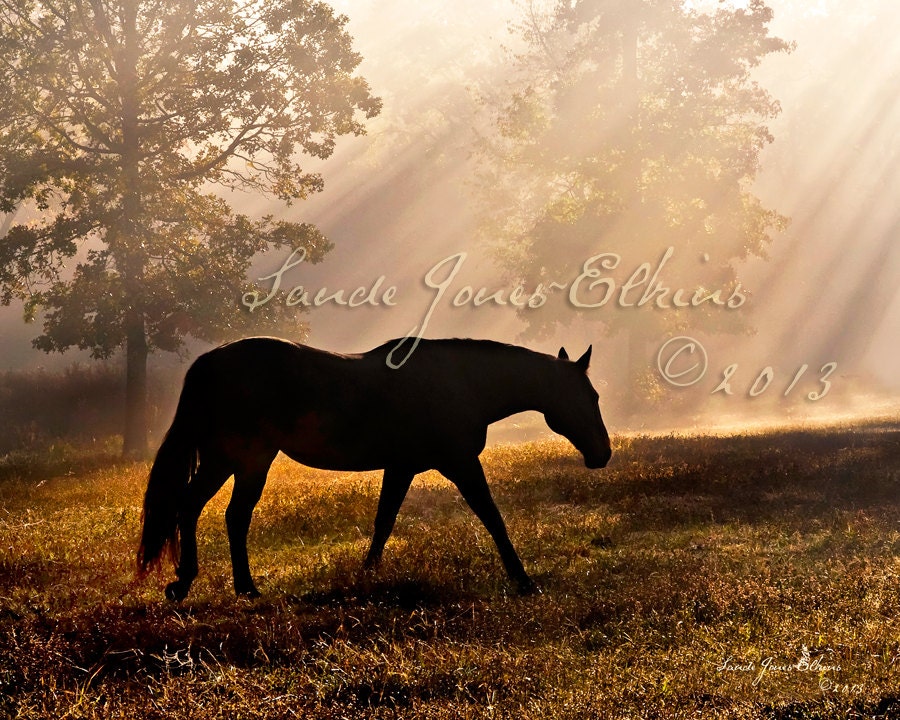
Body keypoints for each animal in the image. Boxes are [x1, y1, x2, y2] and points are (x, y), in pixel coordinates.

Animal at [137, 337, 612, 600]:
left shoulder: (401, 468)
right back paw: (231, 586)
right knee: (226, 514)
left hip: (228, 460)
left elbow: (384, 522)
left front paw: (365, 576)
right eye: (590, 396)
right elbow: (493, 518)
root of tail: (211, 362)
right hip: (246, 459)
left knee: (198, 509)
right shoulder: (460, 464)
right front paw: (523, 580)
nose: (602, 453)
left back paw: (202, 583)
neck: (460, 382)